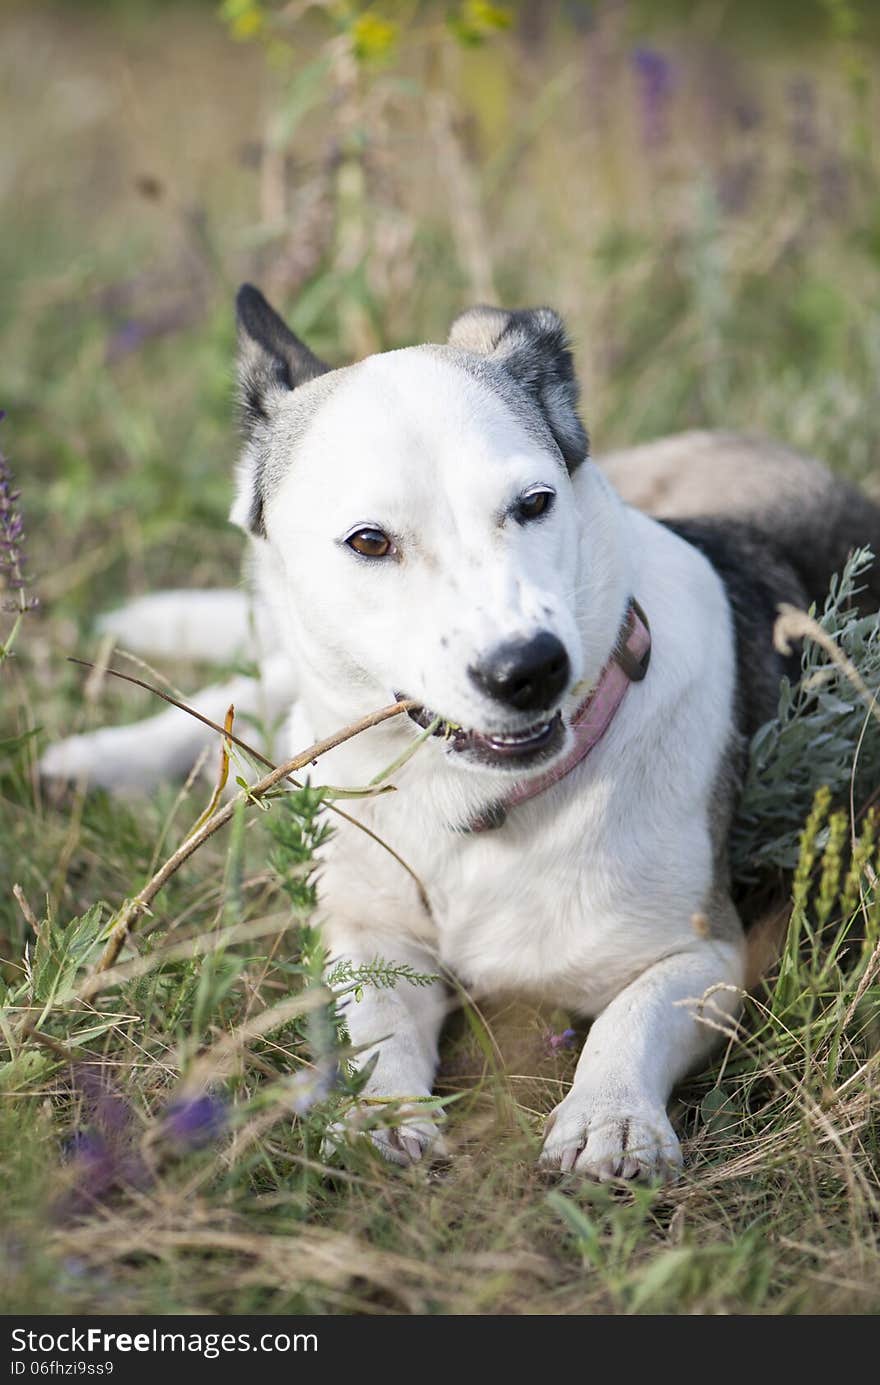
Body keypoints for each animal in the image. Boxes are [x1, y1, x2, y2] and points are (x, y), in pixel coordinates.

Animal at [39, 289, 880, 1180]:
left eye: (536, 503)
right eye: (369, 541)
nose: (531, 669)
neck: (470, 796)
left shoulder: (710, 958)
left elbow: (633, 1013)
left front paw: (611, 1115)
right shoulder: (364, 930)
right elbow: (375, 1019)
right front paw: (380, 1111)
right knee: (258, 684)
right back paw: (106, 756)